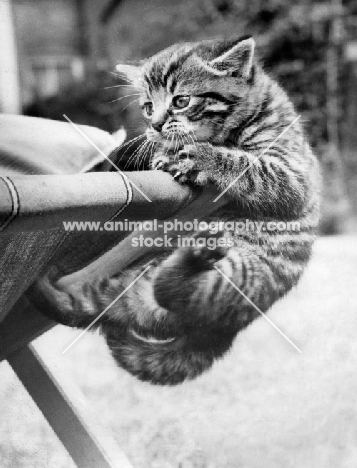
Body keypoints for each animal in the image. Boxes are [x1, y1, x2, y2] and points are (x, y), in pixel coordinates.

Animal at [40, 36, 318, 386]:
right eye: (148, 106)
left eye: (181, 100)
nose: (156, 125)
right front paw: (166, 155)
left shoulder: (293, 174)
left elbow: (246, 164)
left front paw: (198, 157)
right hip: (131, 286)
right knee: (106, 304)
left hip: (242, 275)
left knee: (176, 292)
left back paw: (193, 257)